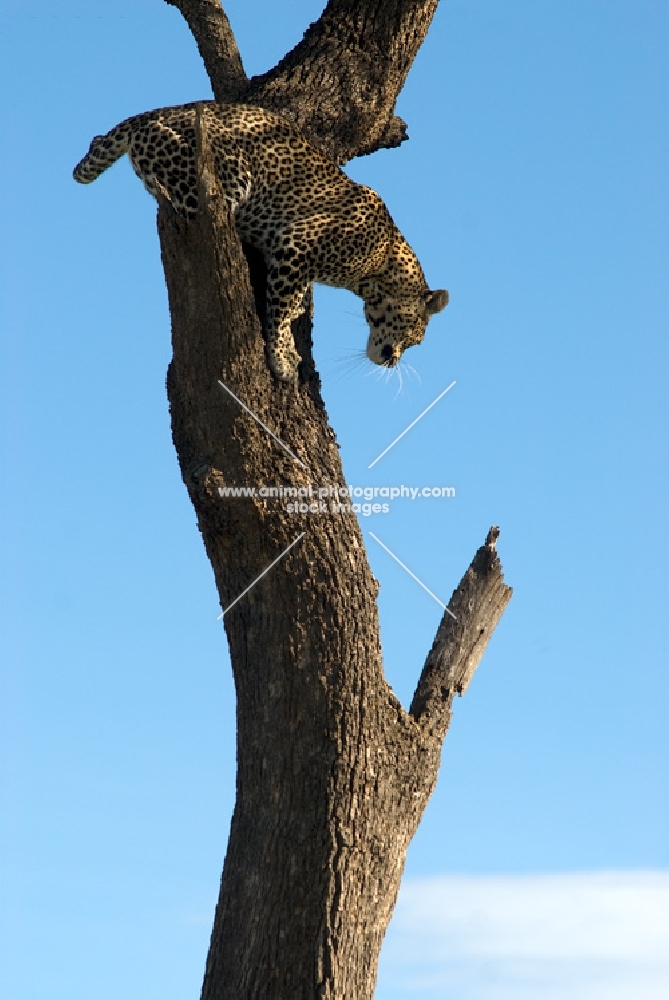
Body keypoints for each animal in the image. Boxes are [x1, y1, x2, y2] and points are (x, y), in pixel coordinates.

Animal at [73, 101, 446, 382]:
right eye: (413, 335)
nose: (392, 360)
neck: (380, 267)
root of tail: (159, 111)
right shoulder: (295, 244)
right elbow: (279, 311)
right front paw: (281, 358)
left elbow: (292, 303)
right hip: (226, 170)